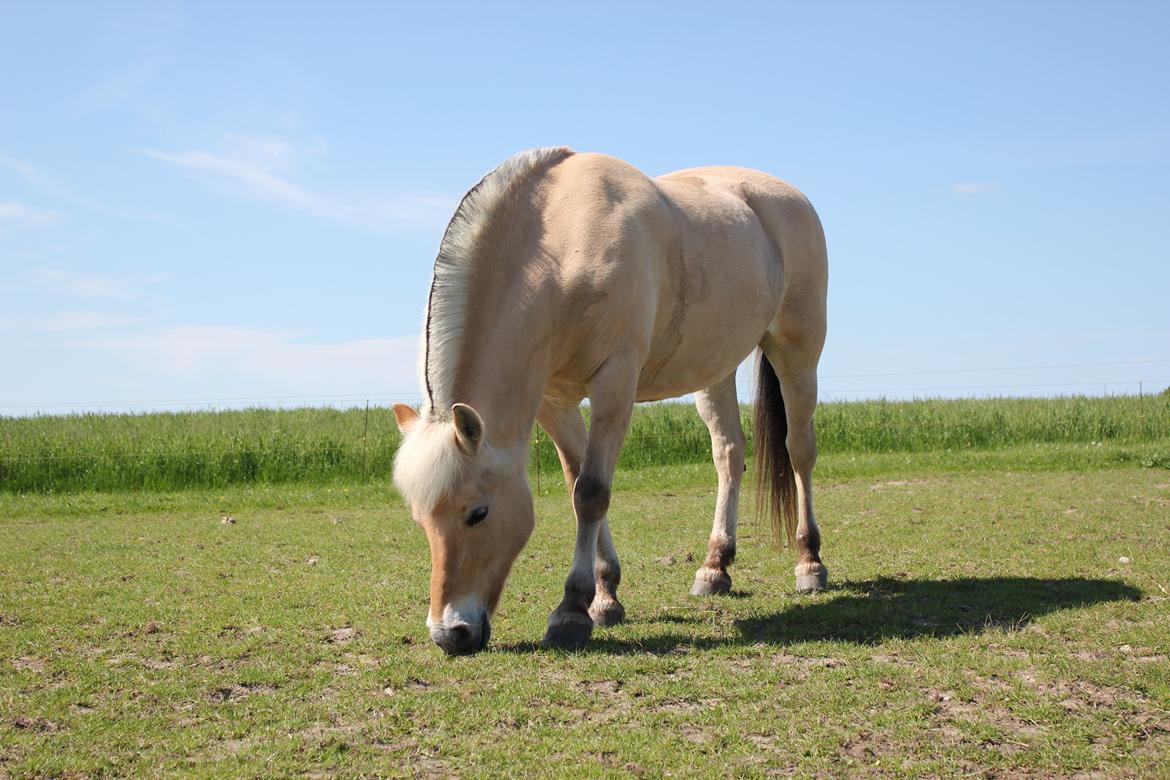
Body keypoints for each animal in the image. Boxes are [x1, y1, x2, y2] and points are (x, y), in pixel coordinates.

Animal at [391, 147, 827, 655]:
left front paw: (572, 610)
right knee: (729, 454)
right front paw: (606, 596)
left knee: (800, 451)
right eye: (421, 519)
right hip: (713, 369)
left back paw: (810, 562)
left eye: (478, 513)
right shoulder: (553, 402)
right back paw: (715, 567)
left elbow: (592, 492)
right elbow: (576, 483)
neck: (560, 246)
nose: (450, 634)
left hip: (798, 352)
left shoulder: (615, 382)